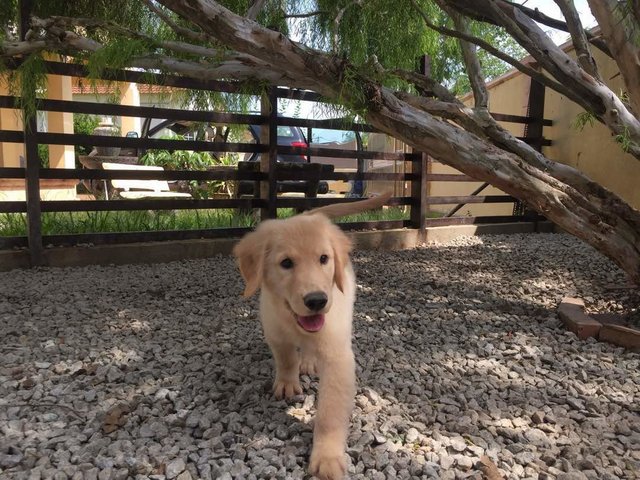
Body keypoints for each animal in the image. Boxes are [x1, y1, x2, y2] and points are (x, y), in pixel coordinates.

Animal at [231, 193, 388, 480]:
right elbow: (286, 359)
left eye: (324, 259)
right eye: (286, 263)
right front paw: (286, 383)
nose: (317, 300)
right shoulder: (274, 330)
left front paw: (327, 457)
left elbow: (330, 413)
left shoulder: (337, 355)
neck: (296, 324)